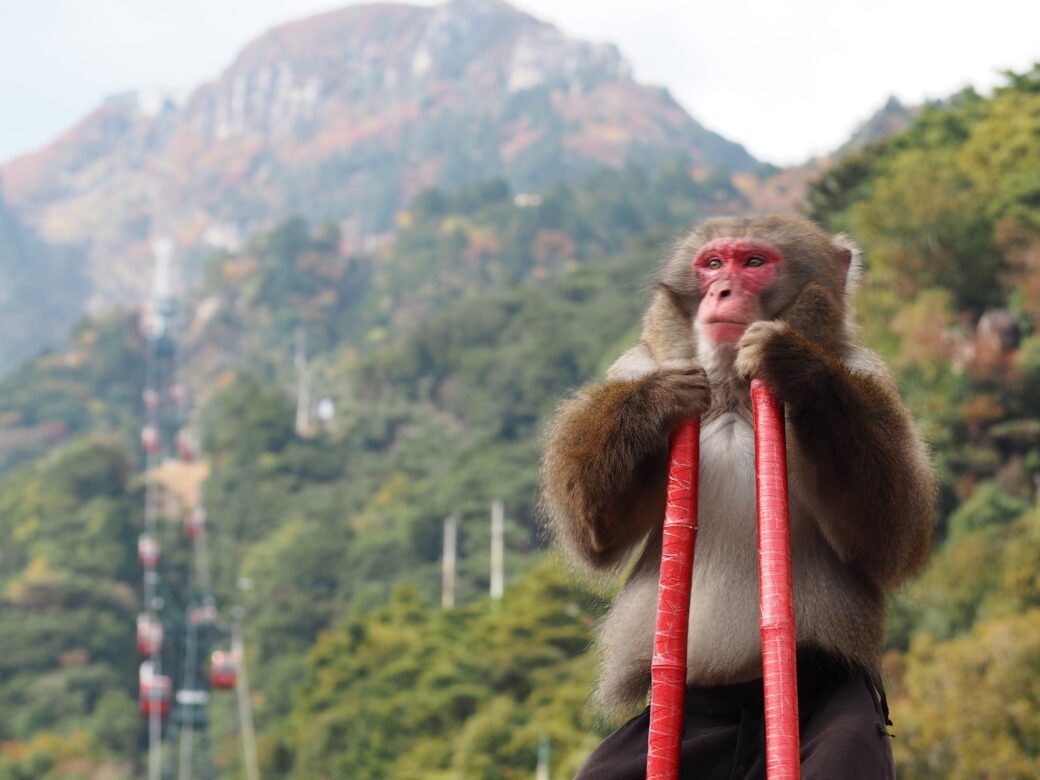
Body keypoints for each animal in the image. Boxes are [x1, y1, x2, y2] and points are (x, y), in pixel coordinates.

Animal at [540, 215, 940, 780]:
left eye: (753, 263)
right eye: (712, 264)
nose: (722, 292)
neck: (730, 391)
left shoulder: (867, 371)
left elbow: (891, 536)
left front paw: (793, 363)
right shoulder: (634, 364)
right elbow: (596, 531)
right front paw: (656, 401)